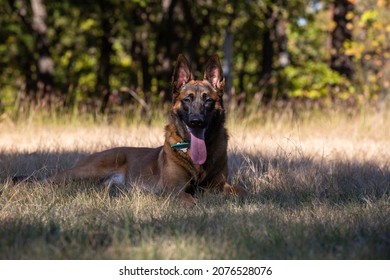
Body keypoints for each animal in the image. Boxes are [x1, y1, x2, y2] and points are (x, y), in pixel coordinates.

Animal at [33, 54, 245, 203]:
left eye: (208, 101)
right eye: (187, 100)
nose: (196, 122)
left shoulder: (219, 184)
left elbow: (240, 191)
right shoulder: (174, 189)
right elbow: (191, 200)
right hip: (83, 172)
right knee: (47, 181)